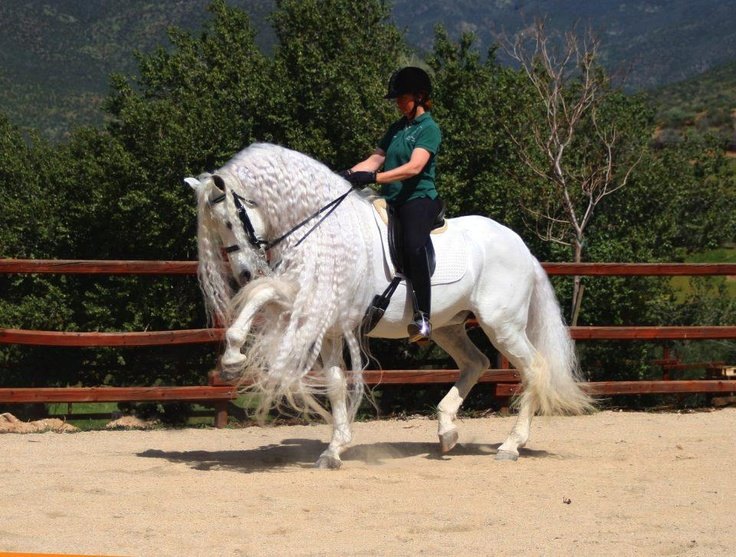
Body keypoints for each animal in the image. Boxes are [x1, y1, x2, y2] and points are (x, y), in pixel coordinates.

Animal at [187, 143, 596, 470]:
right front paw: (333, 450)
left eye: (229, 220)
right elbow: (334, 383)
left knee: (534, 368)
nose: (243, 272)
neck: (324, 229)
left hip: (502, 325)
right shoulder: (326, 319)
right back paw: (446, 431)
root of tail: (521, 247)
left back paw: (510, 445)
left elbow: (260, 294)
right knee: (476, 363)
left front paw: (233, 357)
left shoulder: (313, 302)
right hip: (449, 326)